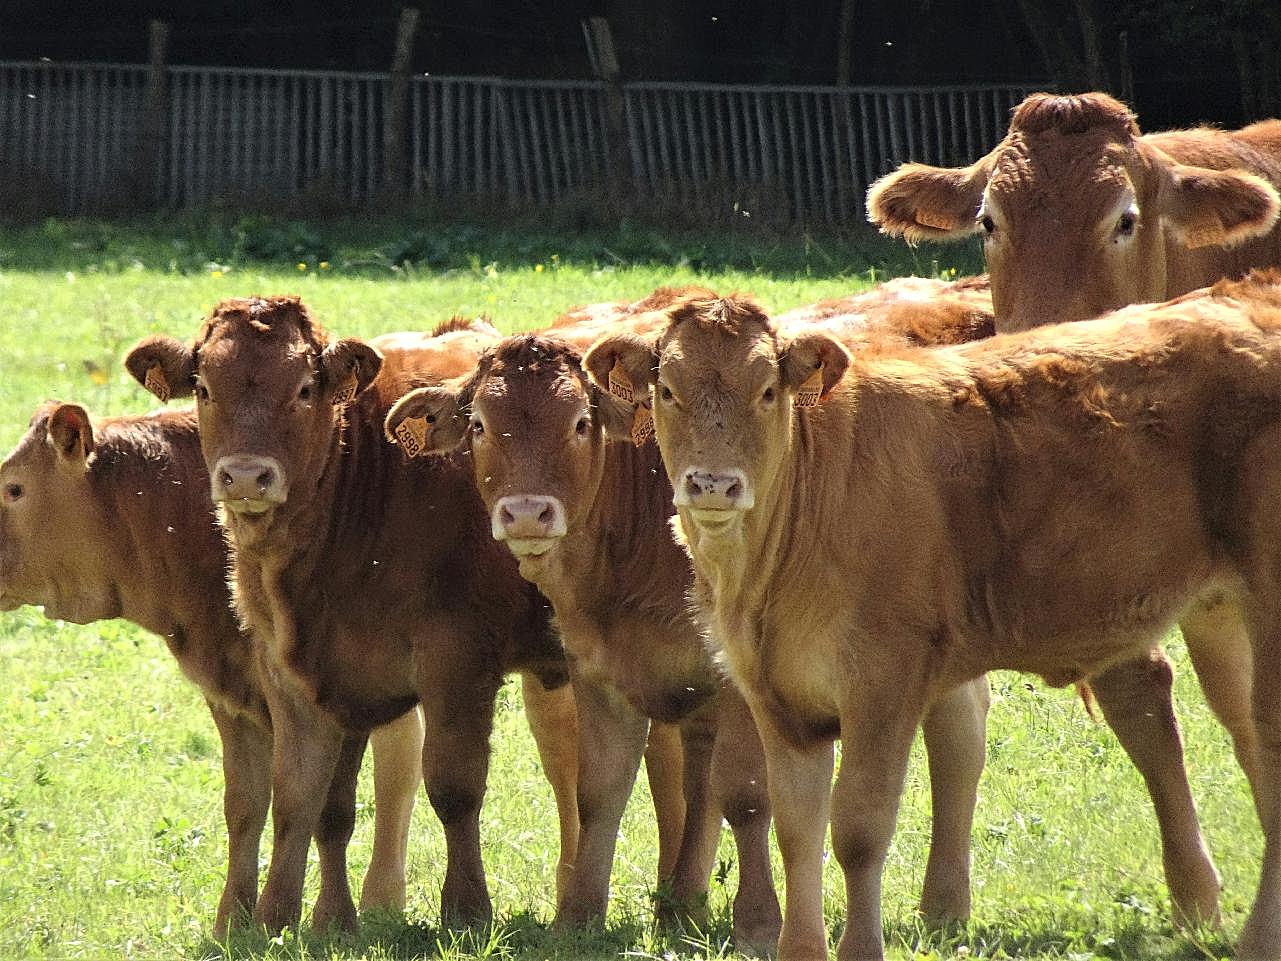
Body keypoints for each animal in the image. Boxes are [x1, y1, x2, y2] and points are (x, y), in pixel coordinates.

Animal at [0, 397, 422, 932]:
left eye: (14, 487)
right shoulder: (232, 693)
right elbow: (245, 805)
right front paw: (233, 922)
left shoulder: (332, 692)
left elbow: (325, 807)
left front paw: (323, 920)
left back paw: (382, 900)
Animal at [123, 304, 576, 937]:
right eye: (205, 389)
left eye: (303, 389)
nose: (246, 477)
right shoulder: (299, 670)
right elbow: (307, 800)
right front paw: (298, 918)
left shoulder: (457, 662)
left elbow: (454, 788)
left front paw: (466, 909)